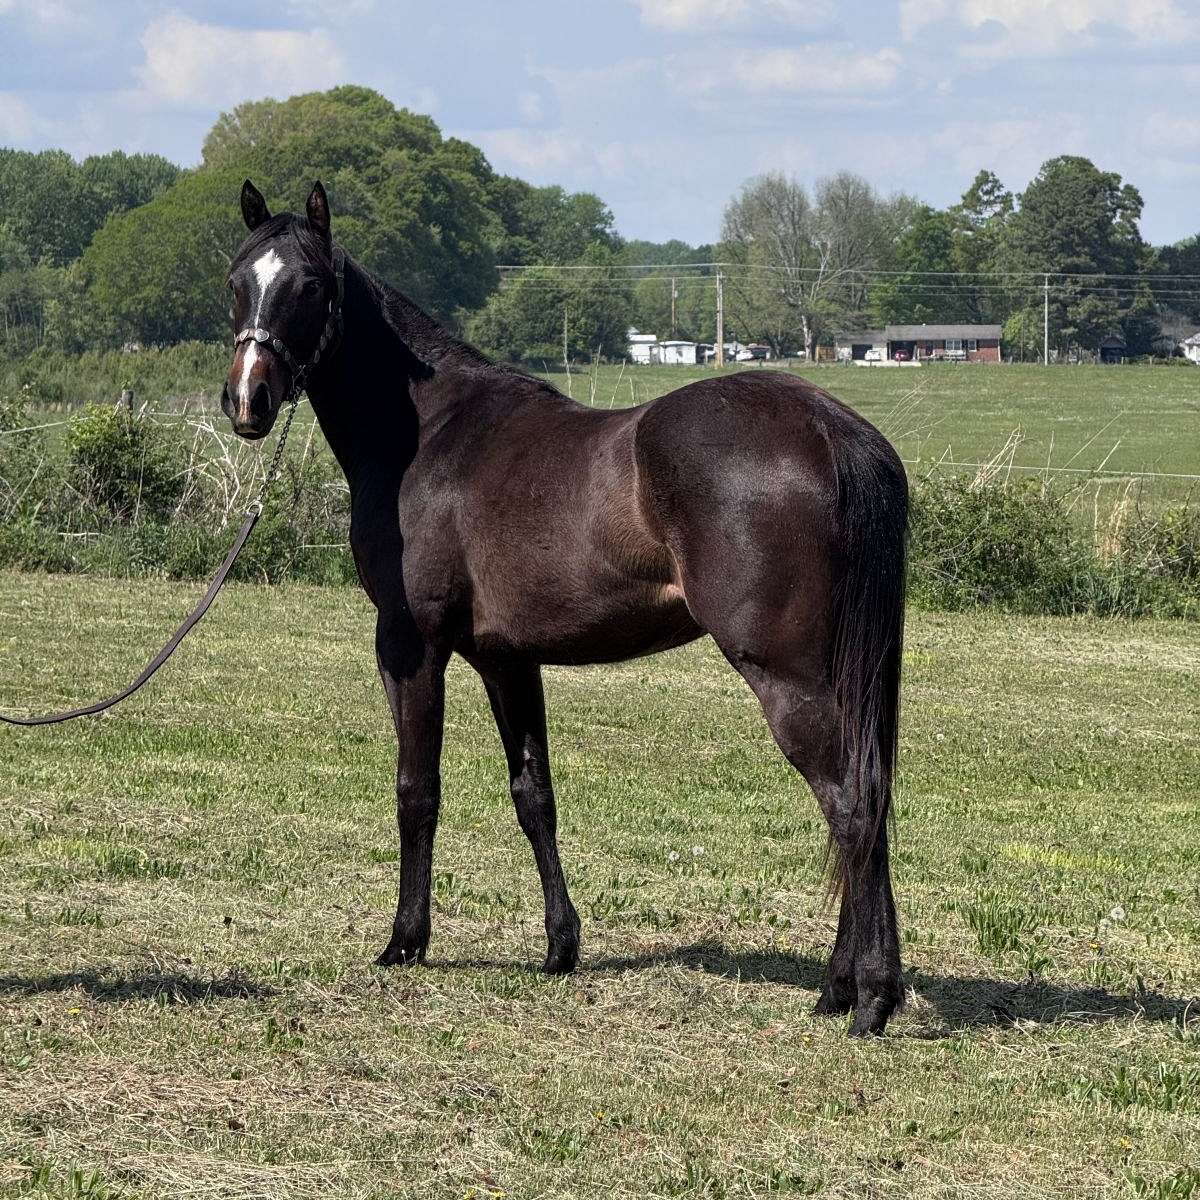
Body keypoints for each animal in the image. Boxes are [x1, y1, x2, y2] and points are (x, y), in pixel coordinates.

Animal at [222, 180, 908, 1036]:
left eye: (310, 285)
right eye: (237, 280)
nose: (247, 399)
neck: (432, 437)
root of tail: (830, 427)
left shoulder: (410, 644)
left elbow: (418, 790)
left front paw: (405, 940)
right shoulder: (507, 660)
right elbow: (534, 798)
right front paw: (560, 946)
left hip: (790, 678)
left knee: (851, 802)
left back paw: (869, 996)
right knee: (866, 801)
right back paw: (841, 987)